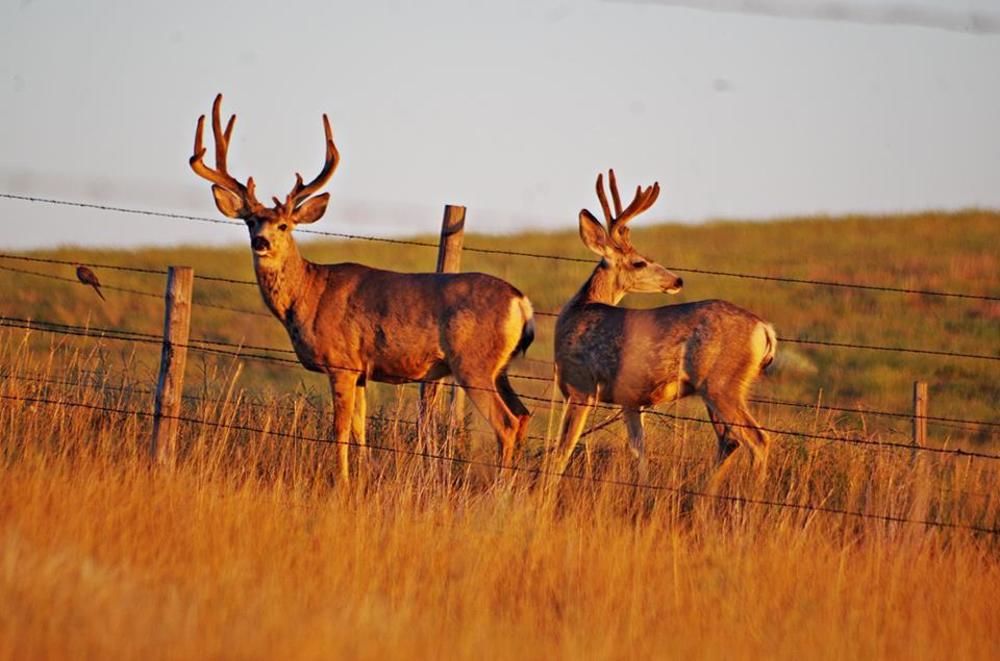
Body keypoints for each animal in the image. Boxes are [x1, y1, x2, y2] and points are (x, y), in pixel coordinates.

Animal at [190, 94, 536, 480]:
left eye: (284, 225)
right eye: (251, 221)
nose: (261, 243)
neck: (309, 294)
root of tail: (521, 302)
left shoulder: (342, 363)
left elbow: (339, 429)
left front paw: (339, 480)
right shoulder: (361, 370)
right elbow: (360, 429)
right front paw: (363, 477)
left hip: (472, 362)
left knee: (506, 423)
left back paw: (500, 488)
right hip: (499, 368)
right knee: (523, 415)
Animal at [552, 168, 776, 482]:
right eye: (639, 263)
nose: (677, 280)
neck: (577, 310)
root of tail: (764, 329)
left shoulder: (579, 384)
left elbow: (562, 451)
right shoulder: (630, 399)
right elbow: (639, 451)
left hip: (722, 384)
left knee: (757, 439)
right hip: (720, 389)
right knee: (729, 441)